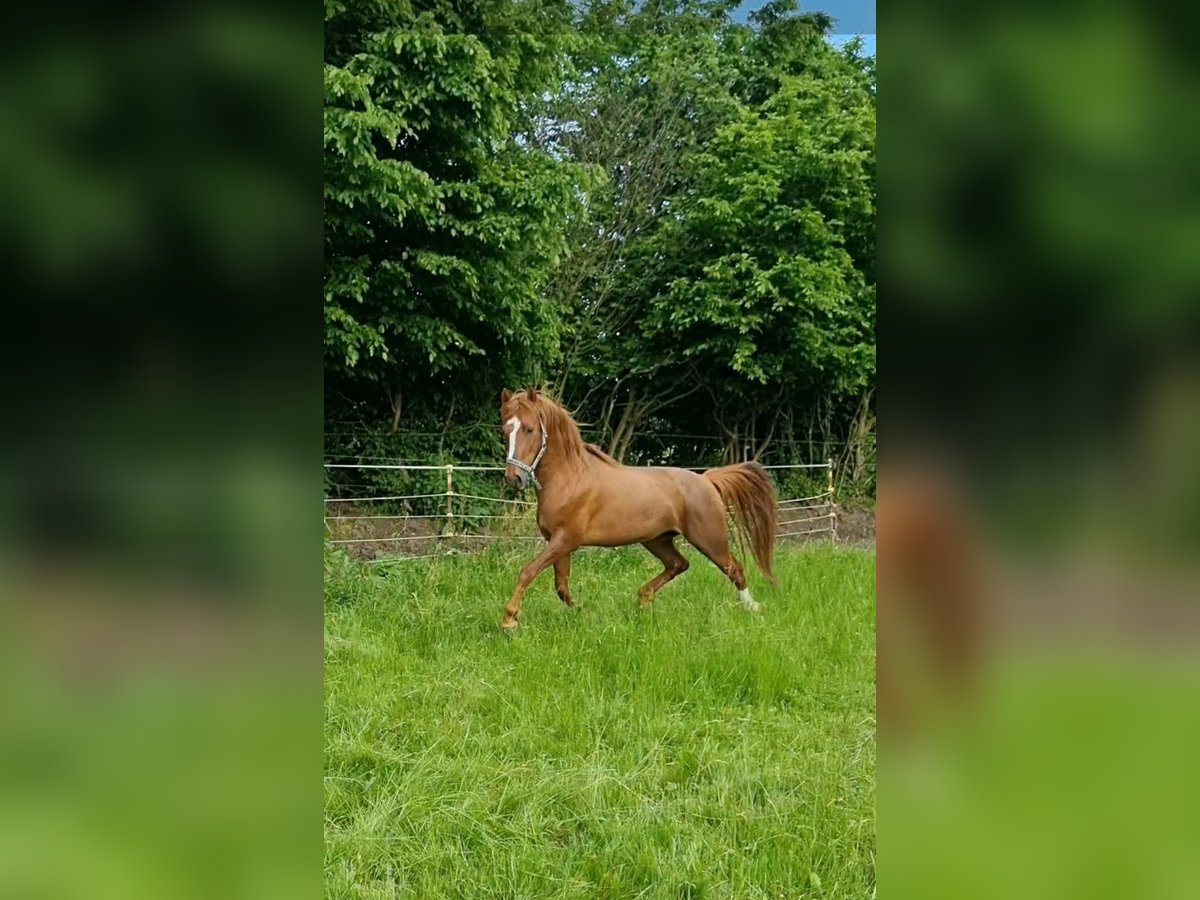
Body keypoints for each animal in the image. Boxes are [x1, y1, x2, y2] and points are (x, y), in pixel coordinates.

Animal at [496, 388, 777, 633]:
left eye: (530, 429)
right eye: (504, 430)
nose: (514, 478)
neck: (570, 478)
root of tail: (706, 479)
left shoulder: (566, 540)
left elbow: (528, 572)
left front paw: (509, 621)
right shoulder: (557, 542)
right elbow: (561, 587)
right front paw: (586, 614)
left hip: (710, 539)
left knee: (734, 569)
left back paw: (754, 610)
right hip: (657, 540)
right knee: (679, 564)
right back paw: (643, 599)